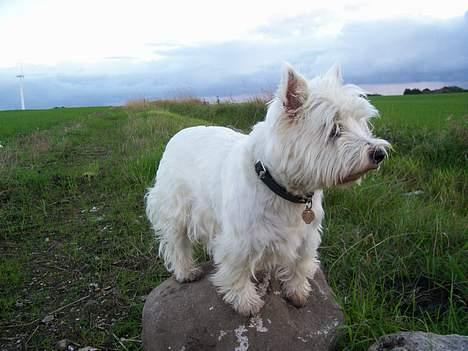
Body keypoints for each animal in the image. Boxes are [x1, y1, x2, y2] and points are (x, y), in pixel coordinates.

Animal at [145, 64, 388, 316]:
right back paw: (186, 272)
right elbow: (238, 269)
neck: (284, 189)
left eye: (360, 122)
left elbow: (300, 263)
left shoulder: (307, 234)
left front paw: (297, 292)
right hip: (174, 208)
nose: (379, 154)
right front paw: (245, 302)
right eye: (334, 130)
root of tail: (177, 135)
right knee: (177, 243)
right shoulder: (239, 240)